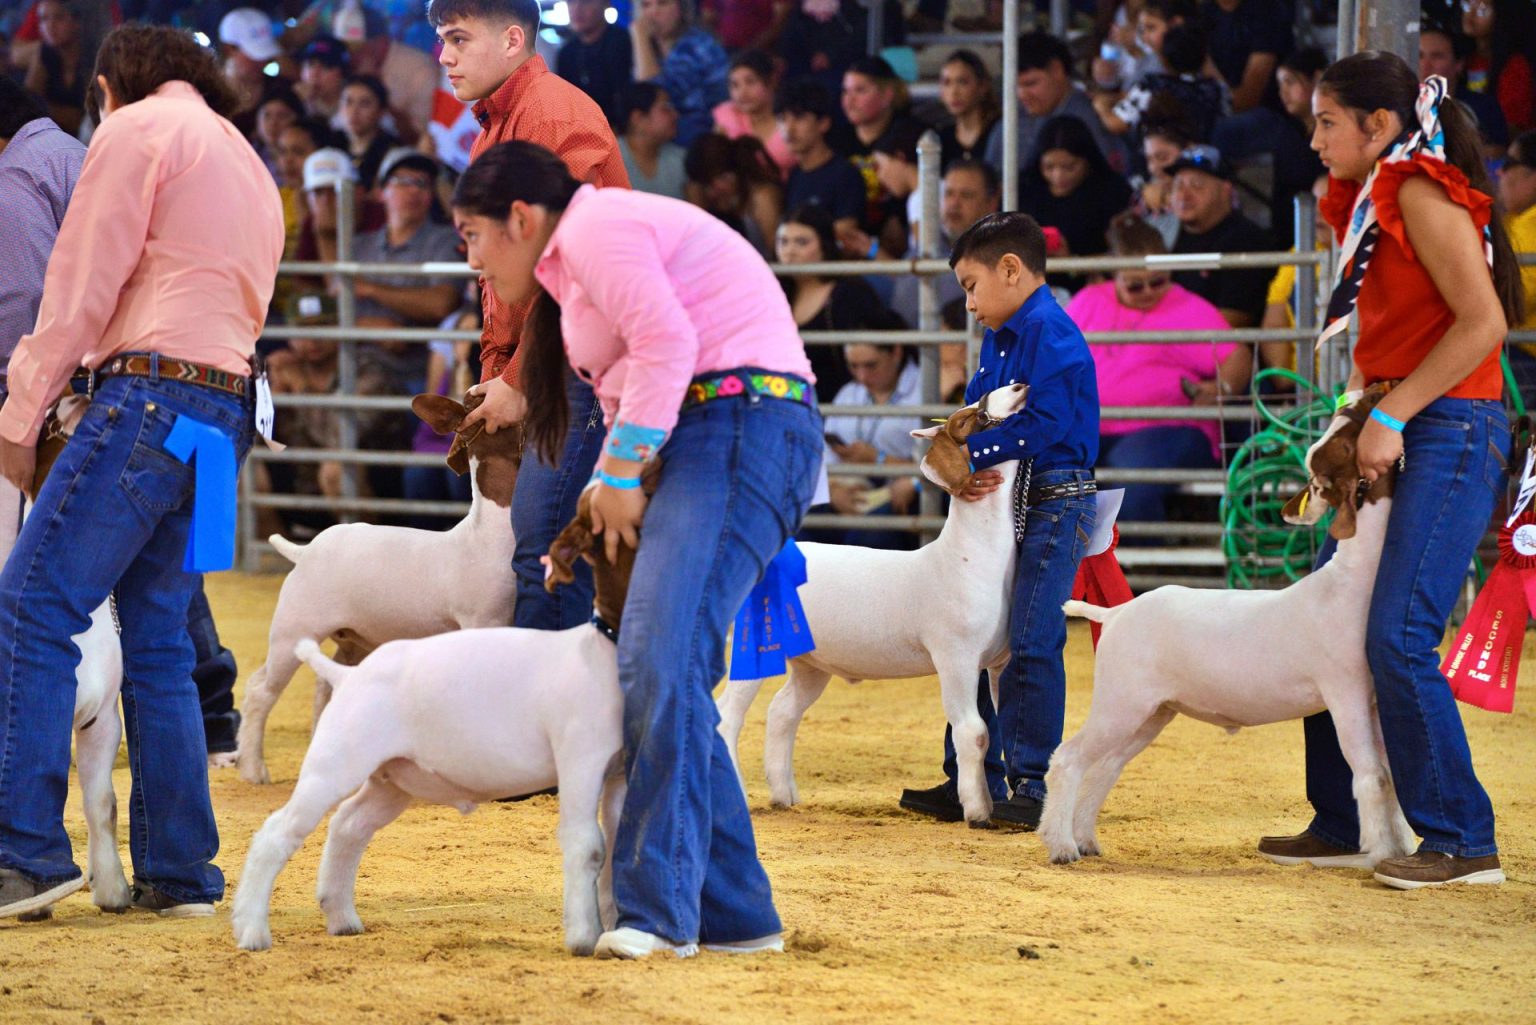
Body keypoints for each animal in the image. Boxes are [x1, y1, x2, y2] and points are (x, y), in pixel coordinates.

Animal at [230, 476, 651, 958]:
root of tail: (349, 676)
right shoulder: (580, 762)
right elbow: (589, 846)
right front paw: (584, 935)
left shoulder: (618, 773)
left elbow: (619, 847)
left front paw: (613, 927)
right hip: (331, 761)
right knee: (276, 830)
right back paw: (252, 930)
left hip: (391, 777)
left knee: (348, 825)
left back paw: (342, 919)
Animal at [238, 396, 522, 780]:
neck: (488, 533)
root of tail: (305, 551)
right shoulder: (483, 622)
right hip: (293, 628)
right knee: (261, 691)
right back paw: (253, 769)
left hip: (354, 638)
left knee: (326, 685)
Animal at [718, 382, 1032, 823]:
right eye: (971, 418)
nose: (1019, 386)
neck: (967, 557)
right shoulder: (955, 656)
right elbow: (974, 732)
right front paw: (977, 811)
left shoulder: (999, 661)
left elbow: (1002, 724)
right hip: (756, 645)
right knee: (728, 717)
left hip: (811, 662)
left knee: (782, 711)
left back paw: (784, 794)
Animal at [1044, 388, 1413, 872]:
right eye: (1348, 440)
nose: (1369, 390)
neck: (1349, 584)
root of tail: (1116, 613)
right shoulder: (1344, 693)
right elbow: (1370, 773)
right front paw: (1380, 851)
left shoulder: (1372, 699)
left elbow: (1390, 775)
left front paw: (1402, 847)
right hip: (1120, 700)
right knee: (1068, 759)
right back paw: (1061, 846)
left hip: (1152, 711)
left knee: (1105, 767)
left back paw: (1085, 838)